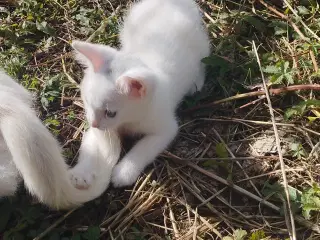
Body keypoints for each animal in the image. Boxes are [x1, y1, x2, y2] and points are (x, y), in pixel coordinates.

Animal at [71, 0, 210, 188]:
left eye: (110, 113)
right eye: (86, 102)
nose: (93, 123)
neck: (128, 121)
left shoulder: (165, 128)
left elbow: (144, 147)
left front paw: (124, 171)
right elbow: (93, 145)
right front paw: (82, 172)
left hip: (201, 46)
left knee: (202, 61)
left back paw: (196, 83)